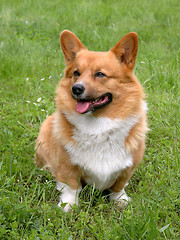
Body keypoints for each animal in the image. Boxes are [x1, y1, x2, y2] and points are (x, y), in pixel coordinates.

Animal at [34, 30, 148, 212]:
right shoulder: (68, 166)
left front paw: (120, 200)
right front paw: (68, 205)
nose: (76, 88)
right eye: (76, 73)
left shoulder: (127, 168)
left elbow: (118, 186)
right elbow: (71, 187)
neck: (98, 125)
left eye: (100, 74)